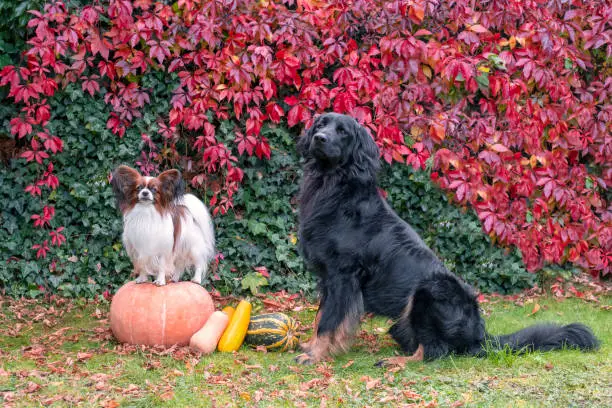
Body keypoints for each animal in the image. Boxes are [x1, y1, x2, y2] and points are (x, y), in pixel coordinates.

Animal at [296, 113, 596, 364]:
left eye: (343, 132)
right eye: (321, 124)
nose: (319, 138)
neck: (334, 187)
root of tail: (481, 336)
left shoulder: (343, 275)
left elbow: (329, 320)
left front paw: (316, 355)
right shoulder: (328, 277)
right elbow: (320, 315)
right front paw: (310, 346)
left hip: (429, 291)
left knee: (434, 351)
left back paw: (396, 362)